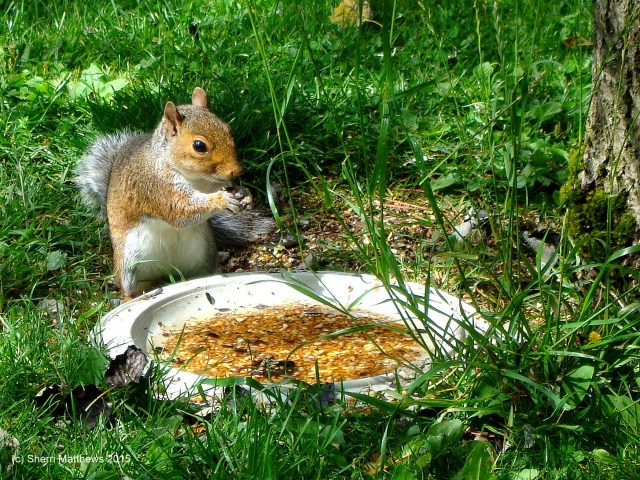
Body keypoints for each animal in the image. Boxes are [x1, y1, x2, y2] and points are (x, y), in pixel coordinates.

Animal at [75, 87, 273, 299]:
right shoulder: (154, 186)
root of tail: (168, 271)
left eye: (228, 130)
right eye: (199, 146)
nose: (237, 171)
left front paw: (245, 194)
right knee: (129, 287)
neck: (196, 178)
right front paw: (221, 200)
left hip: (204, 252)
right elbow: (179, 210)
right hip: (130, 263)